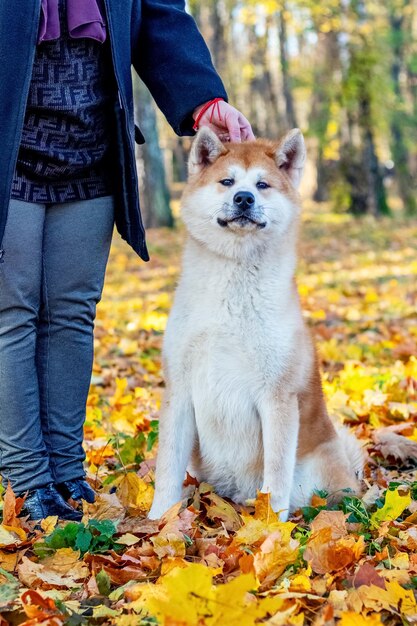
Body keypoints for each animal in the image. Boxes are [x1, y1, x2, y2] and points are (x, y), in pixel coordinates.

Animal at [148, 125, 362, 516]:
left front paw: (271, 525)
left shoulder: (277, 396)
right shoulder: (180, 389)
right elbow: (167, 467)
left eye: (263, 185)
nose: (244, 198)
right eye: (227, 181)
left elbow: (276, 479)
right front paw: (158, 520)